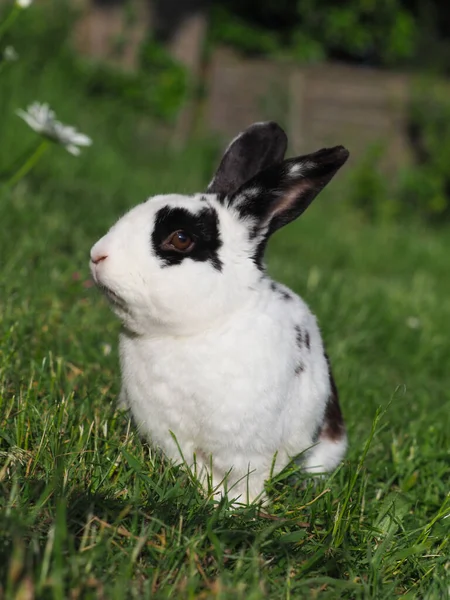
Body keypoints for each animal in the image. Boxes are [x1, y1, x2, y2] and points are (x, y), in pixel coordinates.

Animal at [88, 120, 348, 502]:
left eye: (181, 238)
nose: (97, 255)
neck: (193, 332)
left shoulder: (247, 451)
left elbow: (246, 481)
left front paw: (238, 508)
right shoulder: (171, 438)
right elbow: (198, 471)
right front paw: (210, 498)